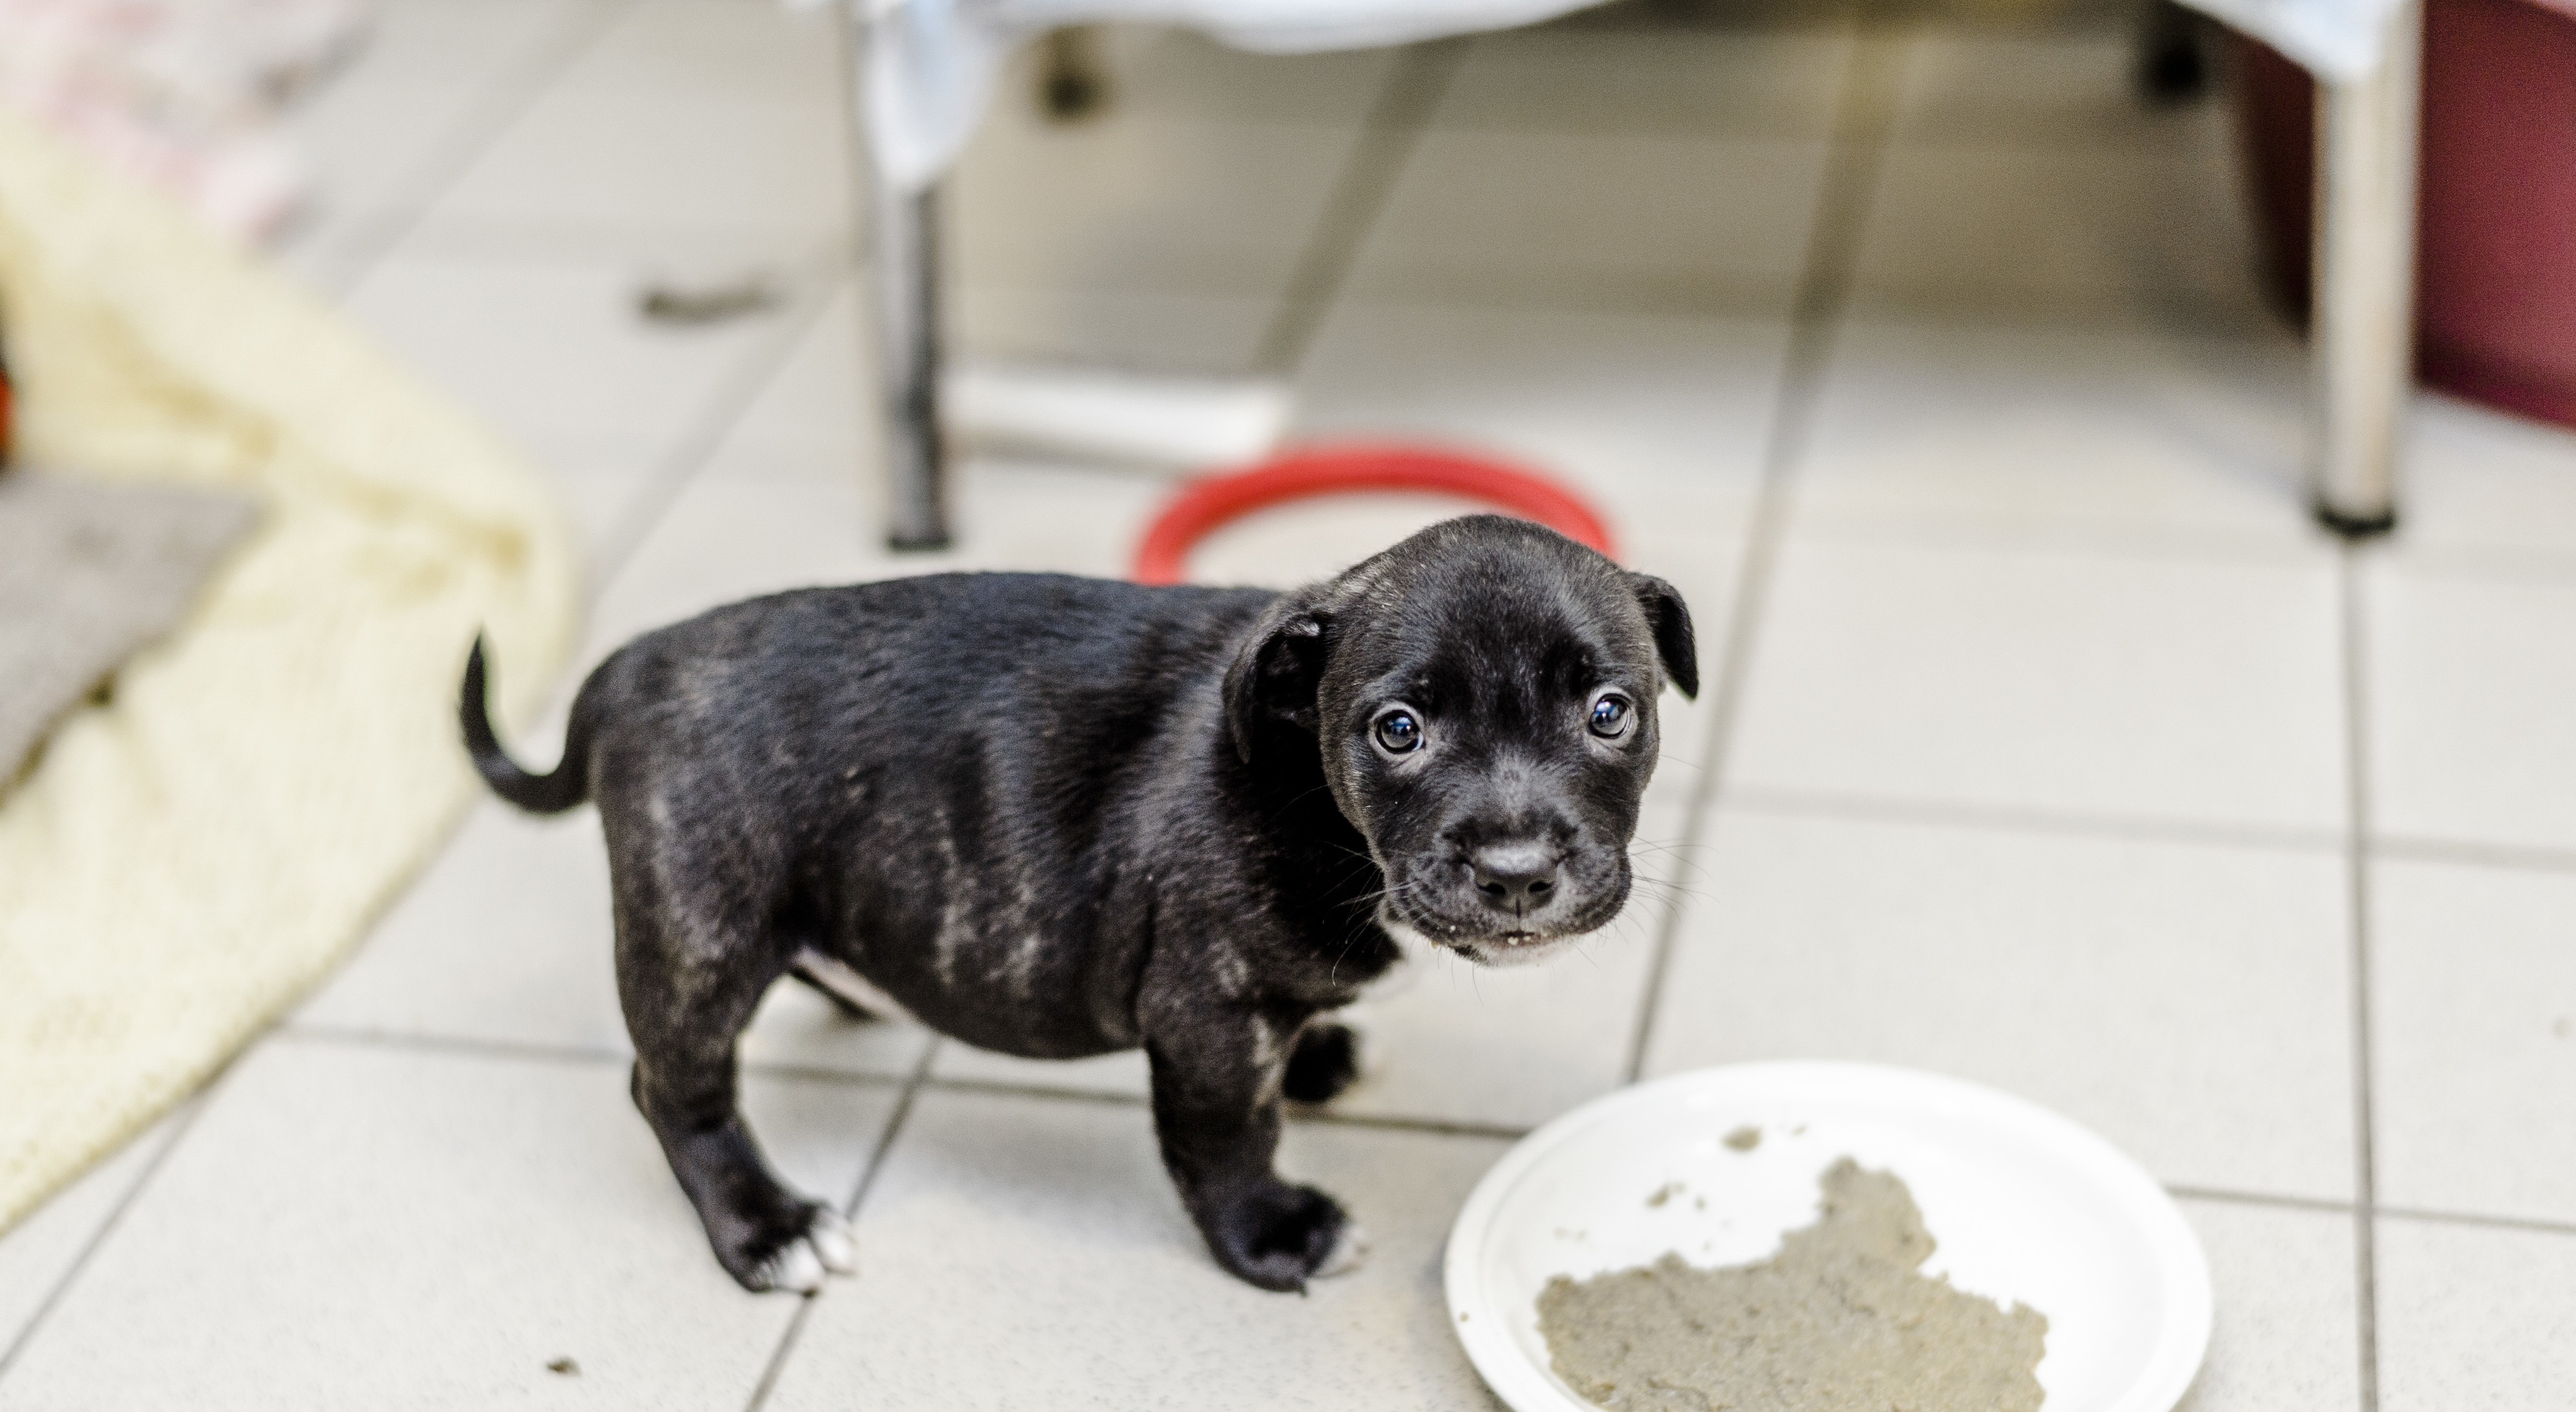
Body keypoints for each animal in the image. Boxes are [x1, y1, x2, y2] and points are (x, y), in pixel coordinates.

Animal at [458, 515, 1689, 1288]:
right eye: (1398, 730)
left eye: (1610, 713)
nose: (1516, 868)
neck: (1302, 780)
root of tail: (627, 671)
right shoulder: (1205, 1017)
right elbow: (1227, 1136)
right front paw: (1272, 1235)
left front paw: (1320, 1054)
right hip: (701, 931)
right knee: (677, 1089)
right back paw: (767, 1230)